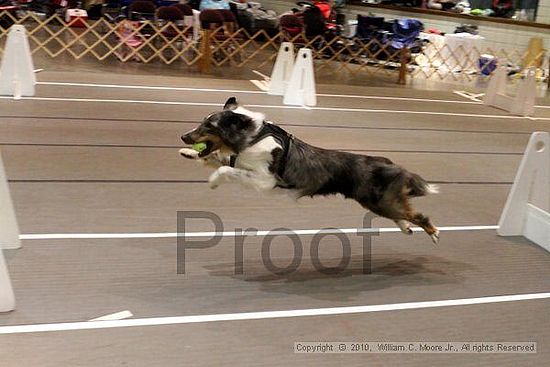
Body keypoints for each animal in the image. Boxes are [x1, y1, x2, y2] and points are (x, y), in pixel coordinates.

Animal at [182, 97, 444, 244]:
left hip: (378, 201)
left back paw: (433, 232)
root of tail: (391, 164)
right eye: (202, 121)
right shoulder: (242, 163)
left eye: (210, 125)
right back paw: (407, 228)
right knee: (404, 213)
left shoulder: (265, 181)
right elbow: (221, 159)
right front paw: (189, 154)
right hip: (379, 202)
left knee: (417, 215)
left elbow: (226, 169)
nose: (184, 137)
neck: (253, 136)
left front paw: (213, 181)